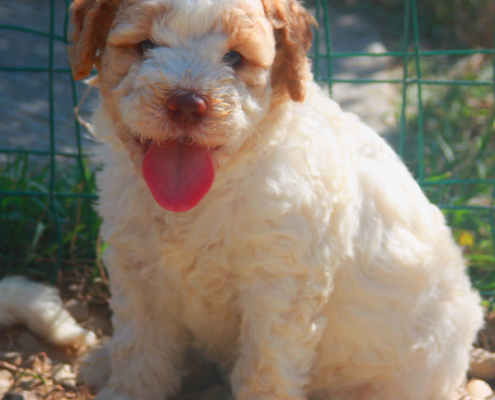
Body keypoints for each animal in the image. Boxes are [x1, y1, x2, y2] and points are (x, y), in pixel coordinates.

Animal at [68, 0, 482, 400]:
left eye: (234, 57)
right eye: (145, 45)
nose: (186, 103)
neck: (205, 198)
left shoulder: (279, 286)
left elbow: (265, 367)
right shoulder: (137, 267)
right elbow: (139, 346)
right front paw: (126, 391)